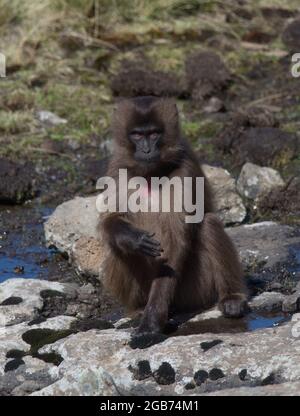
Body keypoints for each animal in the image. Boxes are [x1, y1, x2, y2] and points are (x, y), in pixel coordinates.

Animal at [99, 95, 247, 334]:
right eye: (137, 135)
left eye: (154, 134)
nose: (147, 150)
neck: (150, 175)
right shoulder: (117, 168)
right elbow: (110, 220)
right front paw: (133, 238)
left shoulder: (185, 169)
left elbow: (175, 241)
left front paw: (152, 320)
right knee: (116, 246)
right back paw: (138, 308)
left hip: (193, 290)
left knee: (209, 224)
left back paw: (231, 299)